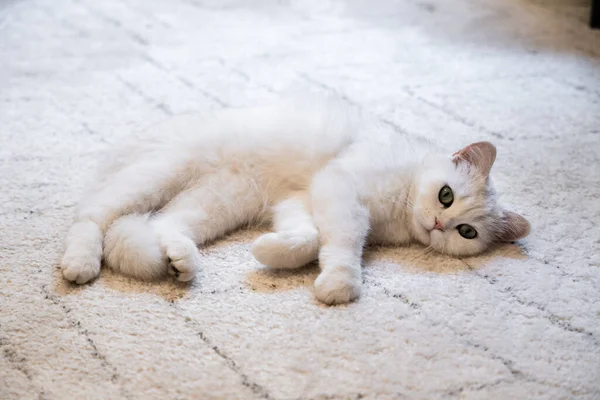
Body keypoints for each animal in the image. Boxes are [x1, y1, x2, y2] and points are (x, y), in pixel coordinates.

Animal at [61, 95, 528, 304]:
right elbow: (343, 244)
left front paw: (271, 251)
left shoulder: (302, 200)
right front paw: (341, 284)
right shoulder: (339, 188)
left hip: (217, 202)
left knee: (157, 228)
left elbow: (306, 238)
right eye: (446, 195)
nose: (439, 224)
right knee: (93, 218)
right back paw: (80, 263)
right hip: (158, 175)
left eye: (466, 232)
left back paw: (181, 261)